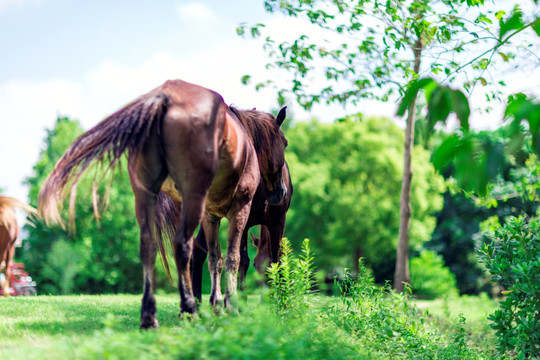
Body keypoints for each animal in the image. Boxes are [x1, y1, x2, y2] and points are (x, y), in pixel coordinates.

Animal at [189, 161, 294, 300]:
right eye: (255, 264)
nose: (266, 298)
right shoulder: (246, 221)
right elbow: (244, 261)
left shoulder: (278, 221)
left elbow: (278, 258)